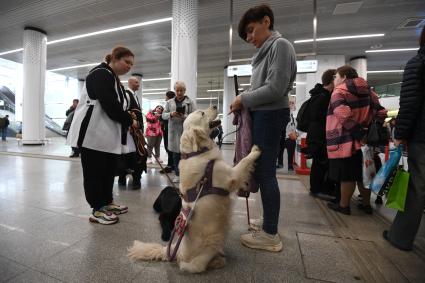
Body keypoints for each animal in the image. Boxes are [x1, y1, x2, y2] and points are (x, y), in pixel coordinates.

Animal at [126, 106, 260, 272]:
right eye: (202, 113)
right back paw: (217, 262)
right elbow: (244, 162)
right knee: (194, 266)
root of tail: (175, 251)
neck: (196, 153)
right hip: (211, 242)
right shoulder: (231, 176)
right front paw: (255, 151)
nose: (215, 106)